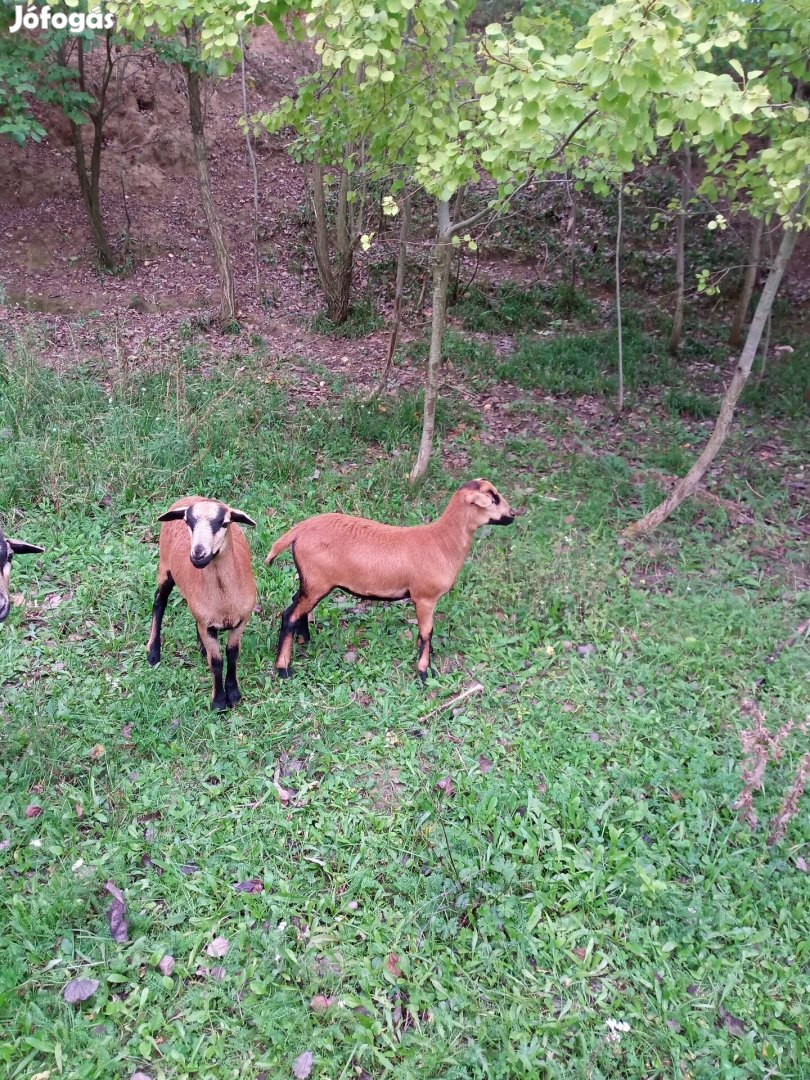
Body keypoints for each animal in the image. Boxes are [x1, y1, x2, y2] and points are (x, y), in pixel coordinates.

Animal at [147, 501, 257, 712]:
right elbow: (216, 662)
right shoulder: (207, 626)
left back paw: (201, 648)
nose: (198, 554)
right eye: (187, 521)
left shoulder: (240, 621)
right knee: (159, 601)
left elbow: (232, 654)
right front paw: (219, 702)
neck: (223, 599)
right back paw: (153, 653)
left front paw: (233, 694)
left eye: (225, 523)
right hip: (164, 568)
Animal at [270, 479, 516, 678]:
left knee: (296, 604)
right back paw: (284, 669)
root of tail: (298, 531)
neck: (442, 541)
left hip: (311, 581)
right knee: (289, 615)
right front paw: (424, 671)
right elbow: (427, 632)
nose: (513, 514)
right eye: (493, 498)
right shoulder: (425, 597)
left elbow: (424, 633)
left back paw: (304, 640)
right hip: (317, 581)